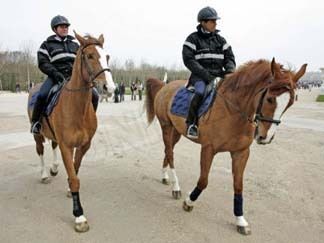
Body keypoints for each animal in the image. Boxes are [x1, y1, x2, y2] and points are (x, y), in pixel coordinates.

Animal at [27, 31, 115, 232]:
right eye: (89, 56)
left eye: (106, 56)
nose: (110, 88)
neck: (77, 107)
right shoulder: (66, 146)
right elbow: (75, 178)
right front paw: (79, 216)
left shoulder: (83, 145)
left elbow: (75, 169)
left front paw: (69, 188)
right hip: (37, 134)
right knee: (40, 150)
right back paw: (45, 174)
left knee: (52, 146)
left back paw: (54, 168)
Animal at [146, 58, 308, 234]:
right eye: (270, 99)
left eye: (290, 103)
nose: (265, 138)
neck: (233, 111)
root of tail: (165, 86)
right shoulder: (208, 149)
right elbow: (203, 181)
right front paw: (189, 202)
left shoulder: (241, 153)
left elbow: (238, 186)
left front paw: (240, 220)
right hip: (166, 127)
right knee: (170, 153)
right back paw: (176, 187)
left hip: (176, 131)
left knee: (167, 152)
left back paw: (165, 176)